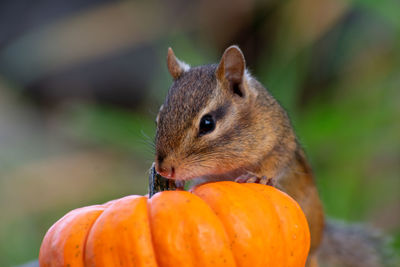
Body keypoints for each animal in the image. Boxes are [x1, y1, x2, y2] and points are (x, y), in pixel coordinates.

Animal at [154, 45, 394, 266]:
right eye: (158, 118)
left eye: (207, 123)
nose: (163, 169)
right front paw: (179, 182)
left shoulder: (281, 143)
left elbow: (275, 162)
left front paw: (258, 176)